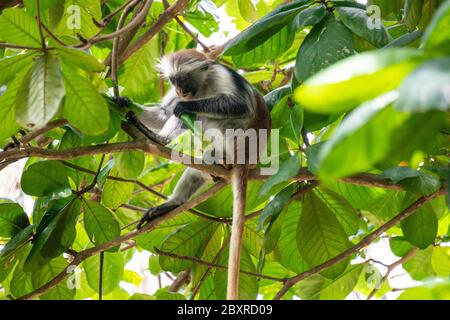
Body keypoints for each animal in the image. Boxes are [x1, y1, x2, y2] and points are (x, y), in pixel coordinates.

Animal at [123, 48, 270, 298]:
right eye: (173, 81)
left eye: (183, 79)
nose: (180, 91)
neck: (201, 86)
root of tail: (249, 159)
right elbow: (164, 113)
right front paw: (120, 101)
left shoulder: (221, 75)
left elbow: (241, 106)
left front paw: (184, 107)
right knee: (195, 167)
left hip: (235, 138)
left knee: (205, 117)